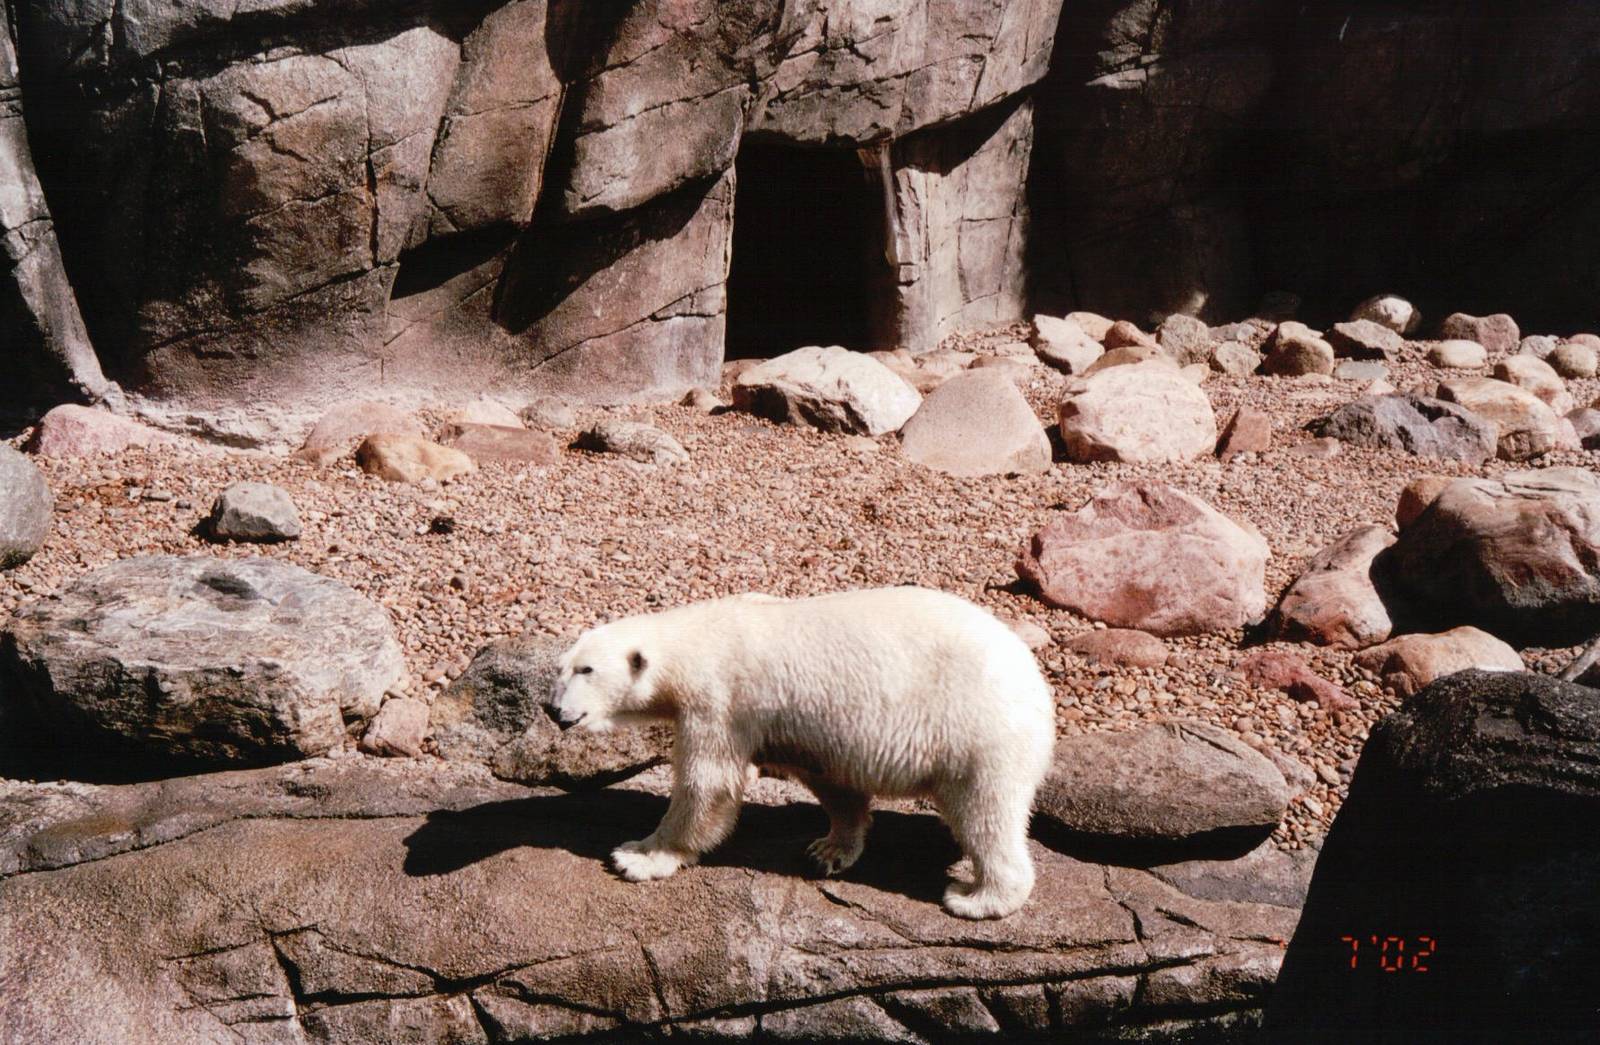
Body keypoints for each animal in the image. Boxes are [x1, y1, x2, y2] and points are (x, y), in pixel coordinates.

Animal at [548, 586, 1056, 919]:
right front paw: (830, 848)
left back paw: (977, 897)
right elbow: (834, 783)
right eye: (561, 668)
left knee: (985, 812)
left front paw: (638, 855)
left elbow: (707, 784)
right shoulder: (806, 724)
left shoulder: (720, 702)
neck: (700, 638)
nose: (554, 709)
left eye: (587, 670)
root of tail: (1038, 688)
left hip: (978, 729)